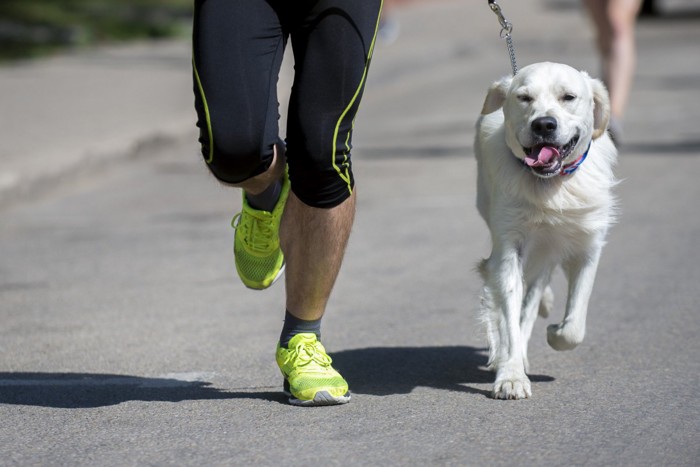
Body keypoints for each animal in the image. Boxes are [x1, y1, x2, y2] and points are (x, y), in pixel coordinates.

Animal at [476, 61, 616, 398]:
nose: (543, 125)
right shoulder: (509, 244)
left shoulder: (587, 244)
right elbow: (509, 313)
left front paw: (555, 332)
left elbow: (575, 326)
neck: (551, 184)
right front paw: (511, 375)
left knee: (537, 287)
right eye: (524, 97)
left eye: (569, 97)